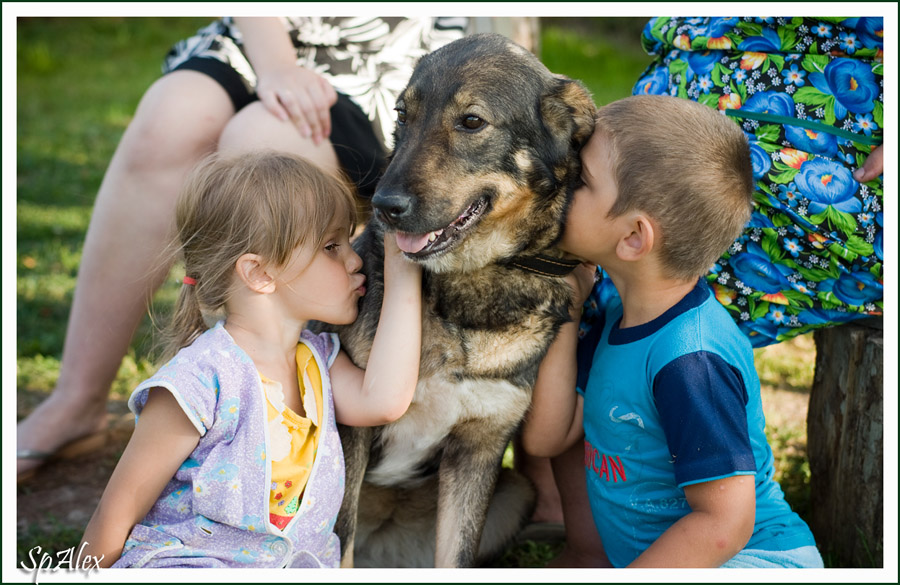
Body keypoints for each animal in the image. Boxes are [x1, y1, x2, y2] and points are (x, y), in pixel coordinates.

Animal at [324, 32, 596, 564]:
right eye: (402, 114)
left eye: (471, 122)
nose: (384, 207)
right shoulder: (352, 427)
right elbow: (336, 542)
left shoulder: (478, 450)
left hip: (516, 495)